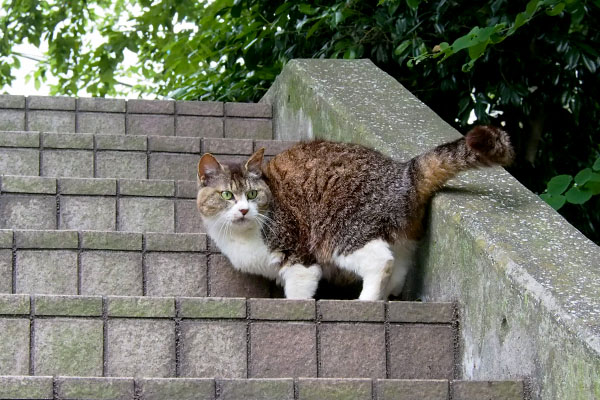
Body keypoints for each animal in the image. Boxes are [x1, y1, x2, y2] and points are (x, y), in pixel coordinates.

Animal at [195, 125, 512, 300]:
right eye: (226, 195)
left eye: (252, 194)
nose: (244, 210)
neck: (240, 238)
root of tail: (402, 172)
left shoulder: (299, 257)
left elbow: (299, 292)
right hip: (402, 236)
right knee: (398, 267)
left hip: (341, 231)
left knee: (381, 262)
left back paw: (367, 302)